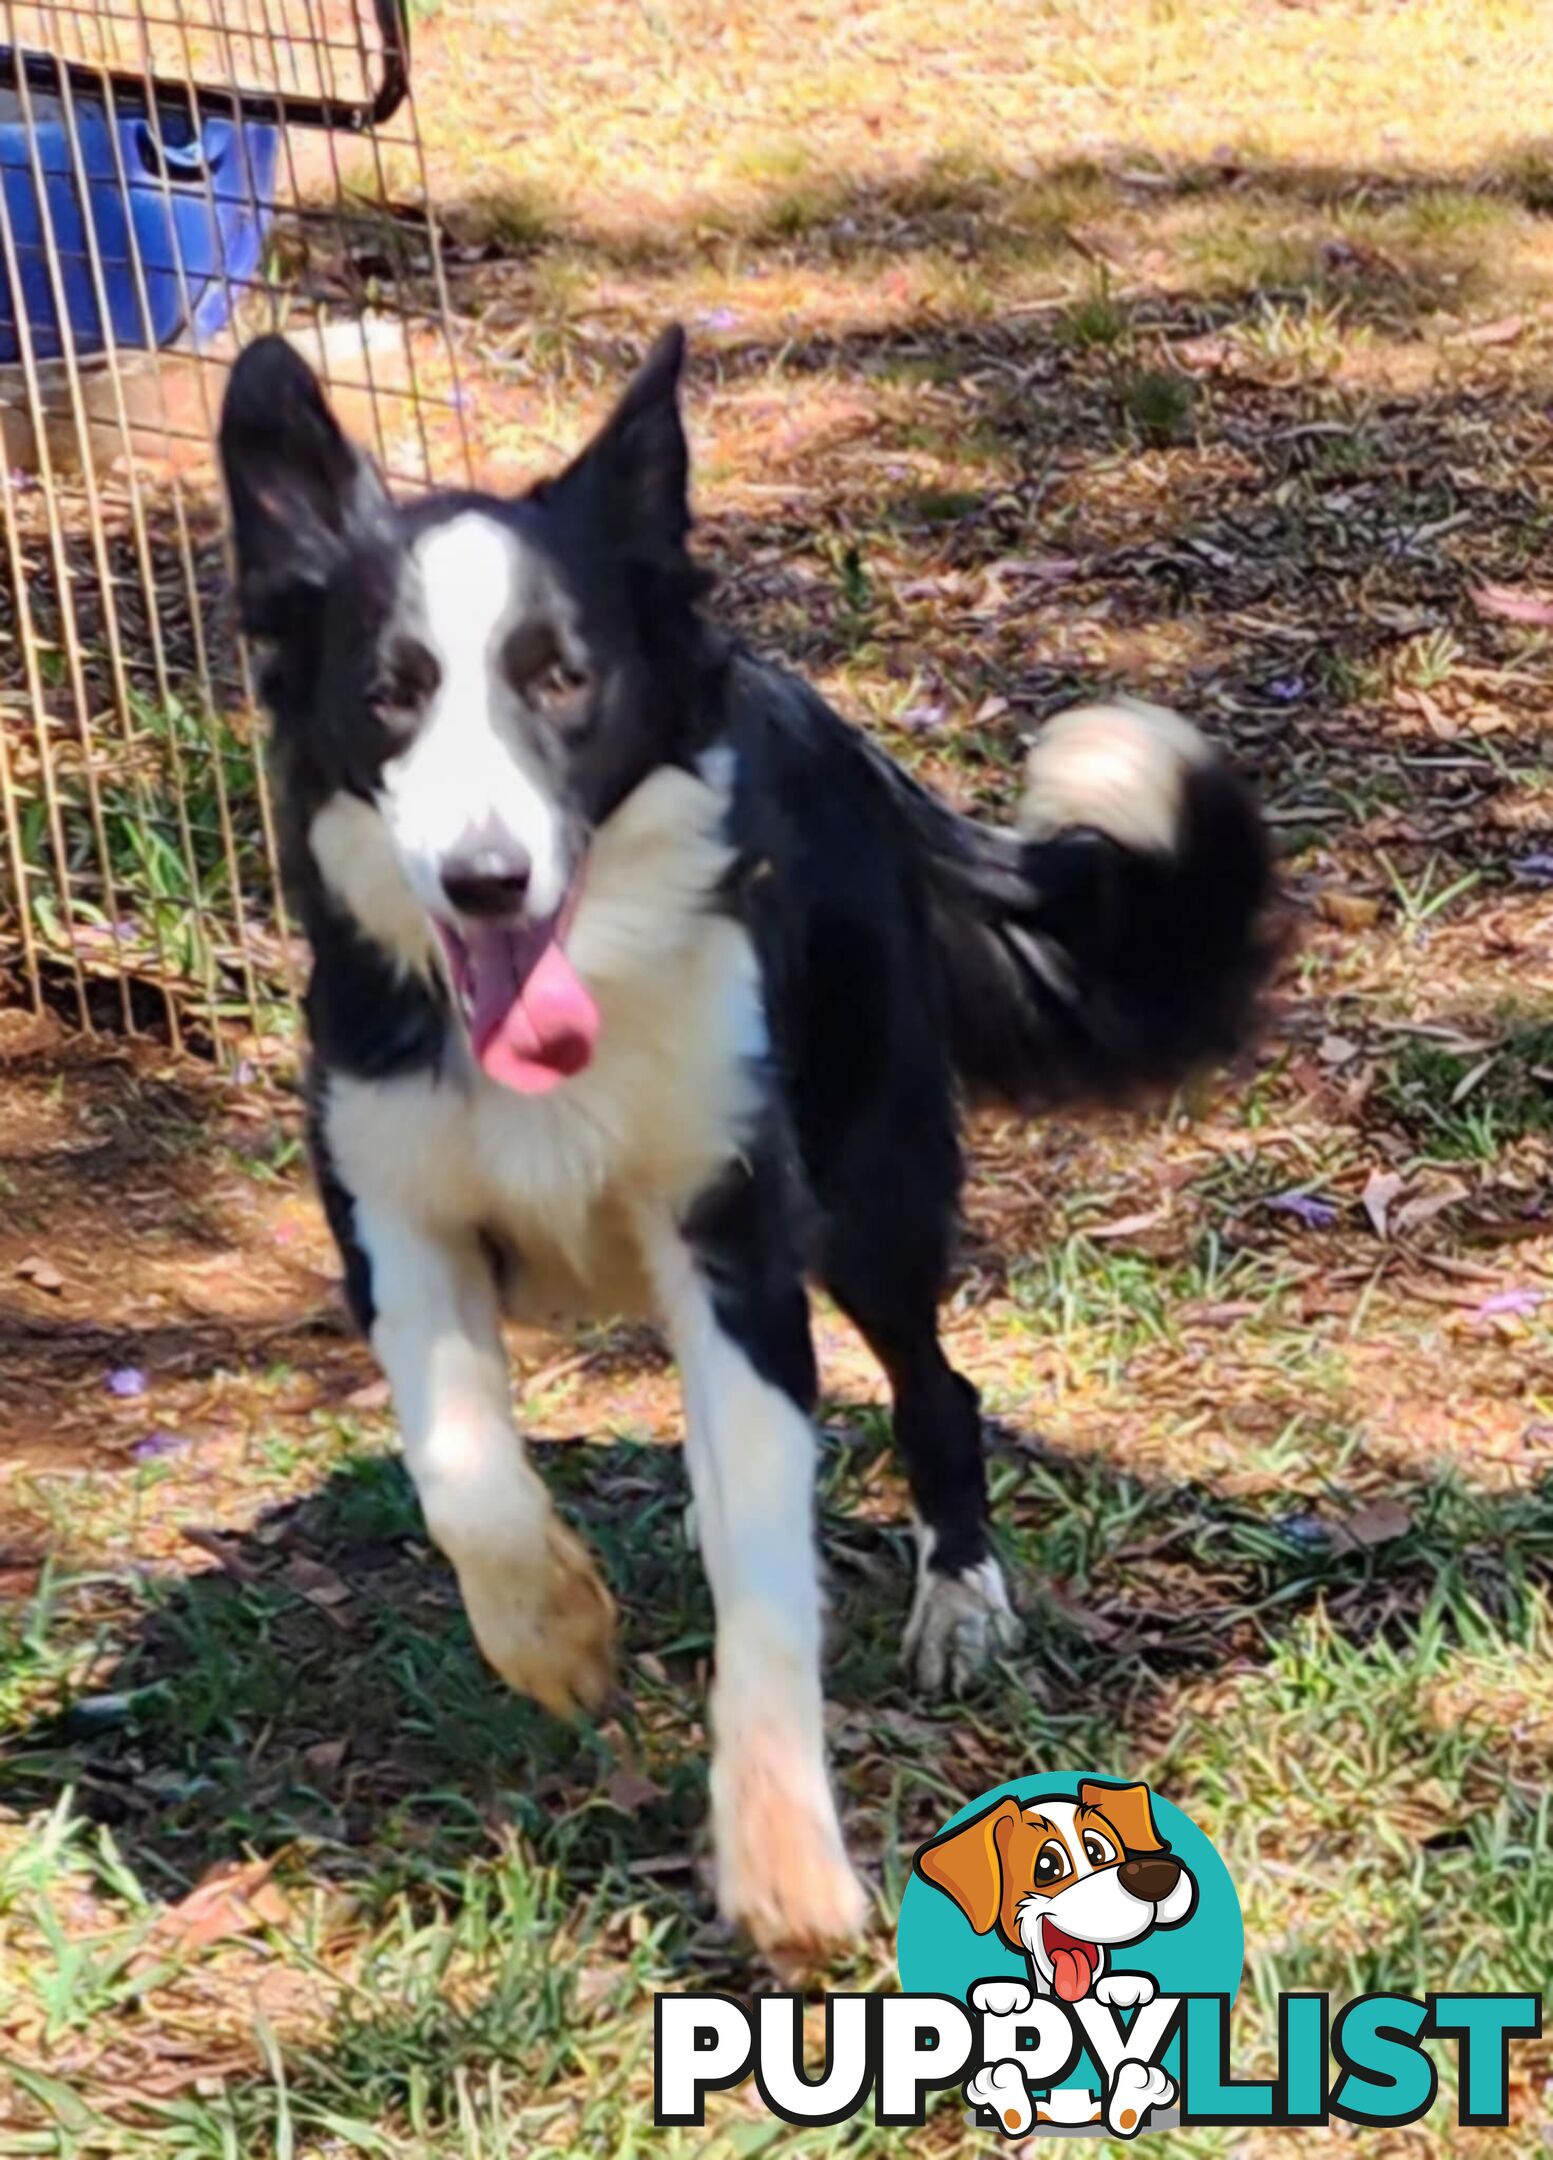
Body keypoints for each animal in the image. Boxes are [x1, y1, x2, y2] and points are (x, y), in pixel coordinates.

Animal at [218, 324, 1278, 1961]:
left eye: (563, 679)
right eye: (389, 695)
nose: (482, 879)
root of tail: (840, 734)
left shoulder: (736, 1253)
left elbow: (766, 1579)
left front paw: (784, 1860)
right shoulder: (391, 1214)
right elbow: (461, 1468)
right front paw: (554, 1631)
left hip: (872, 1187)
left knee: (939, 1388)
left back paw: (961, 1599)